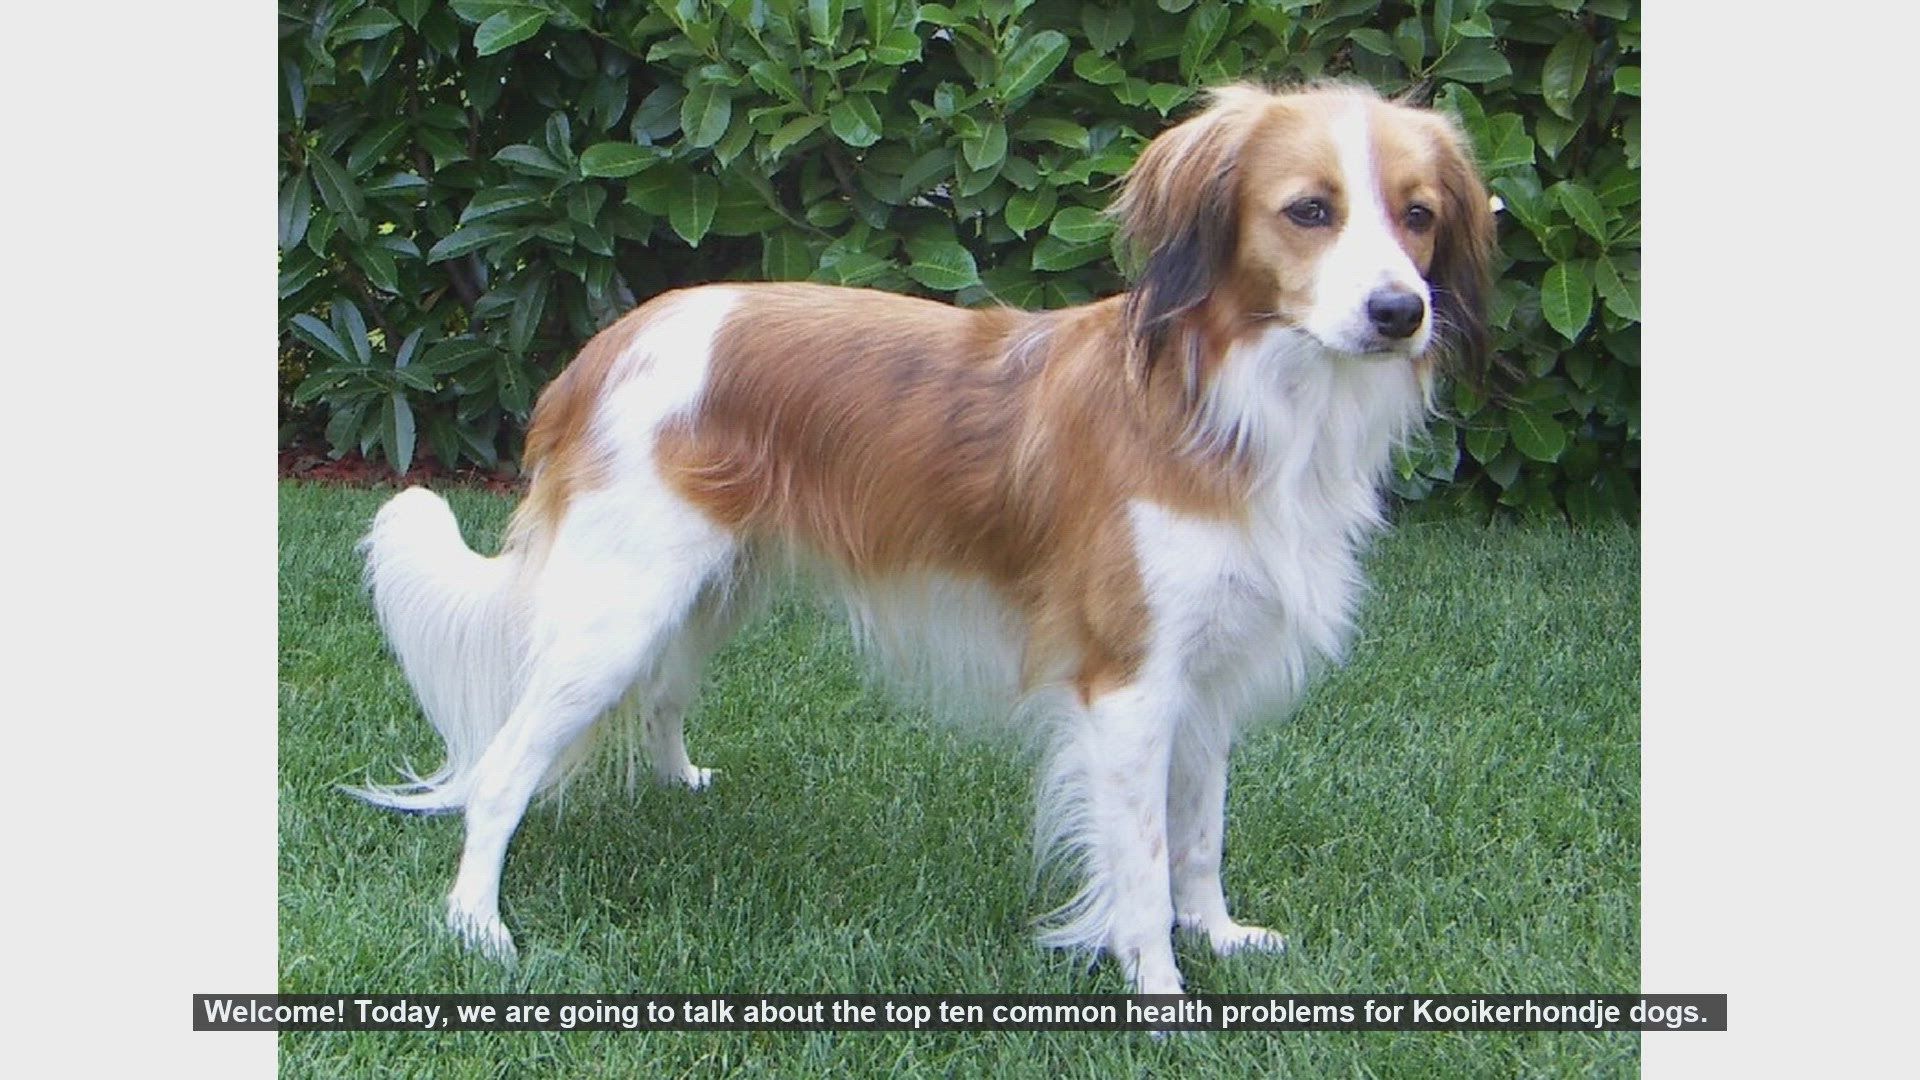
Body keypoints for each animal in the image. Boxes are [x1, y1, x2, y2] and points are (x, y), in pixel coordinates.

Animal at [352, 83, 1493, 994]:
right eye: (1310, 211)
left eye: (1419, 217)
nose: (1401, 311)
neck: (1235, 402)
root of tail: (608, 343)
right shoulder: (1128, 683)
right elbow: (1140, 860)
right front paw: (1161, 992)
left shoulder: (1203, 673)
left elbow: (1198, 837)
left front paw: (1214, 934)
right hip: (617, 608)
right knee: (501, 770)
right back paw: (476, 927)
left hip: (709, 586)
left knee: (666, 693)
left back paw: (681, 786)